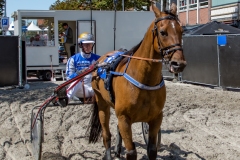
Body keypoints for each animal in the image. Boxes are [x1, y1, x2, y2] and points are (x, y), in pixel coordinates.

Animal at [87, 2, 187, 160]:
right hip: (102, 103)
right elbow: (131, 152)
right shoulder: (124, 119)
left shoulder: (156, 118)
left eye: (181, 31)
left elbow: (152, 149)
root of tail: (101, 60)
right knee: (106, 134)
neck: (144, 81)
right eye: (163, 32)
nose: (179, 64)